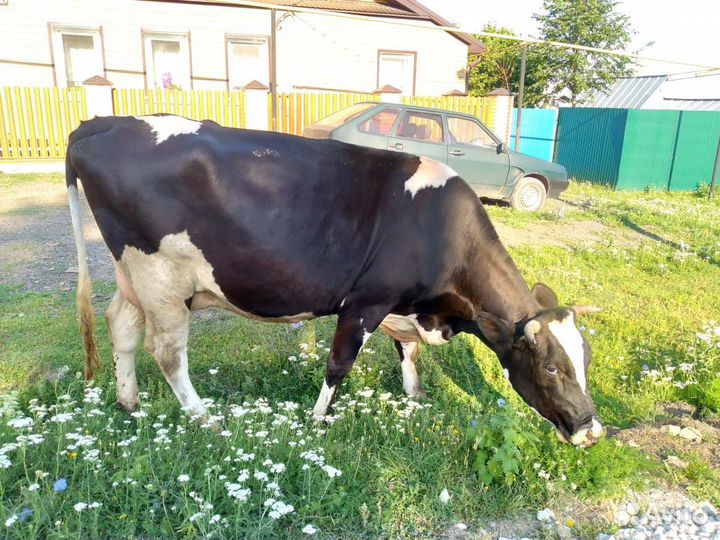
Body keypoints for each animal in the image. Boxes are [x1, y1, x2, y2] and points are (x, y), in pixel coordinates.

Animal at [66, 114, 604, 448]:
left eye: (586, 359)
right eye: (551, 368)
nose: (592, 429)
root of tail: (103, 122)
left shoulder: (402, 306)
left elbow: (408, 354)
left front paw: (416, 398)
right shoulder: (366, 302)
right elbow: (338, 365)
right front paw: (316, 420)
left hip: (134, 276)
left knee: (122, 327)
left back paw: (129, 403)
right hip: (160, 278)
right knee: (167, 353)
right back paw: (203, 418)